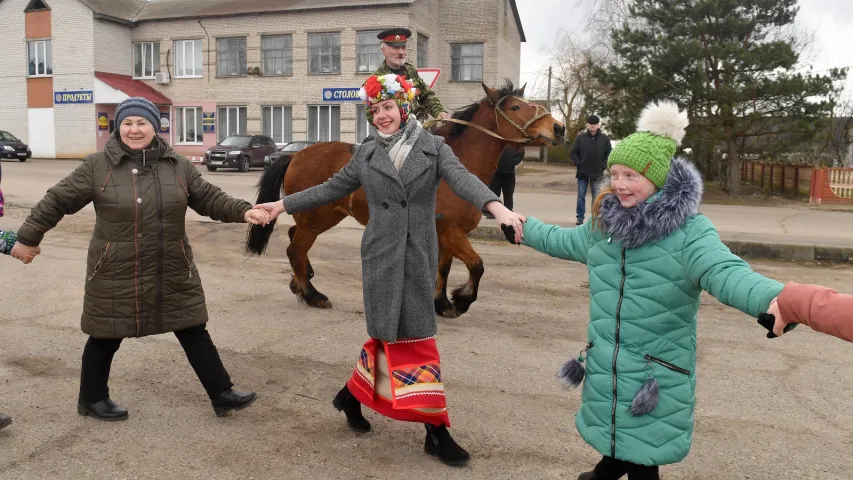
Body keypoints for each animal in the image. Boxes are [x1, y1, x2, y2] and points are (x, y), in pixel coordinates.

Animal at [246, 83, 564, 318]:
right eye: (515, 107)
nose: (558, 128)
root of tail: (295, 155)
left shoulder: (444, 232)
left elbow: (444, 267)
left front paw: (441, 303)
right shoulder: (450, 230)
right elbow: (477, 265)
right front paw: (461, 300)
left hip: (324, 216)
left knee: (293, 238)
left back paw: (301, 283)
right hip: (315, 218)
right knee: (295, 249)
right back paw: (313, 294)